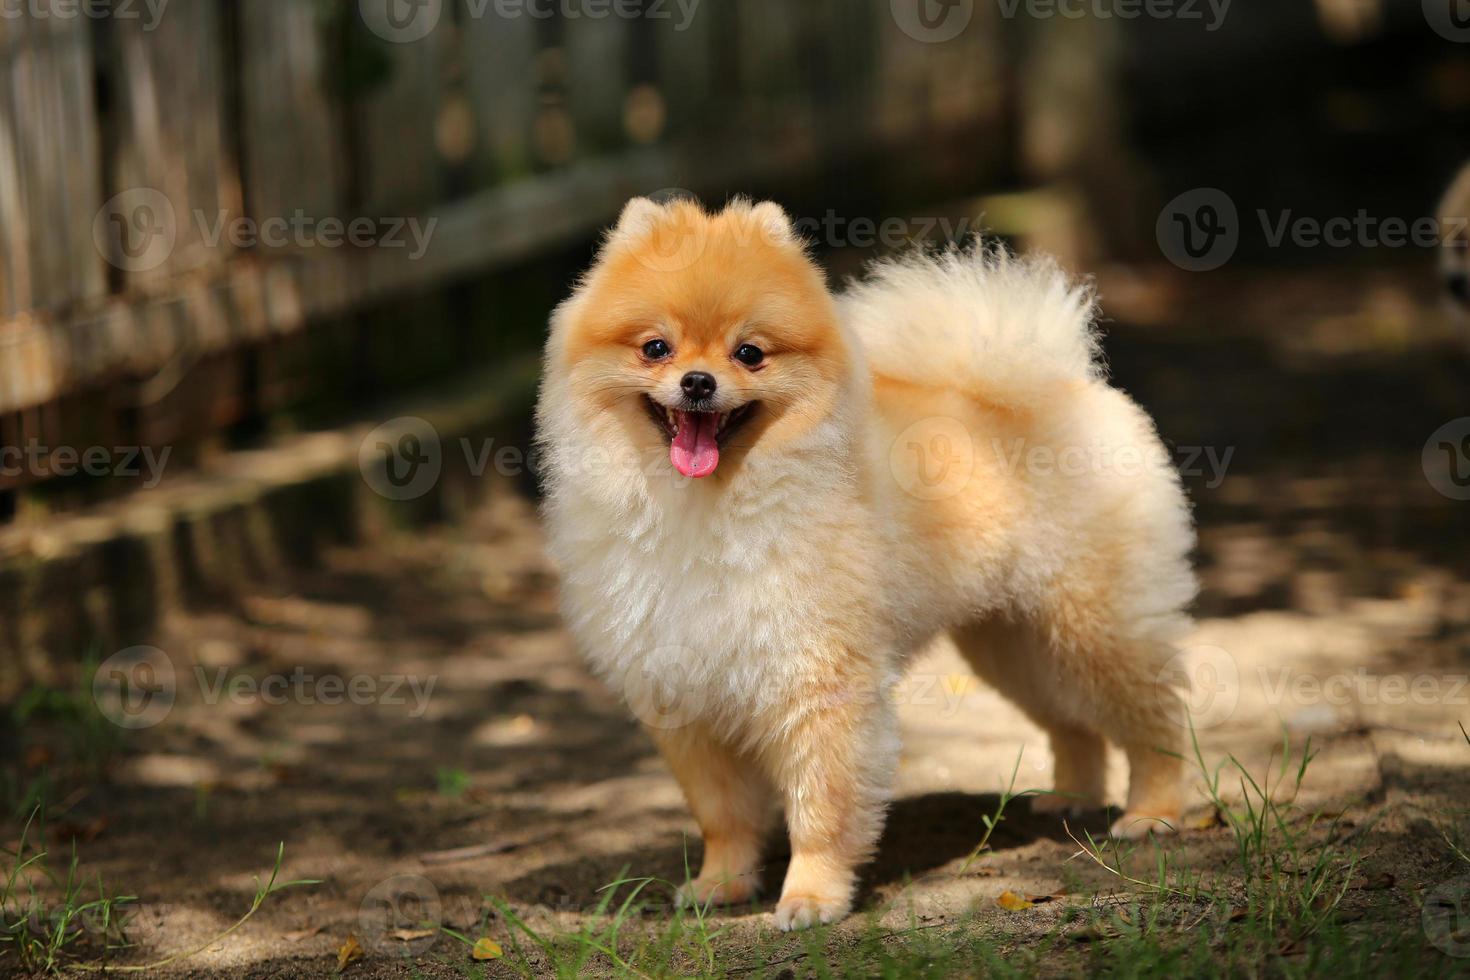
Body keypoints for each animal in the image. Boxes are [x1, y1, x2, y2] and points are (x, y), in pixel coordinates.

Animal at [535, 195, 1199, 934]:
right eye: (656, 348)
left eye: (750, 353)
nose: (698, 381)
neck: (703, 507)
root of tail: (1056, 381)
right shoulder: (683, 691)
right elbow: (722, 814)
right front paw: (721, 884)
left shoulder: (821, 682)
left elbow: (821, 808)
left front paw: (811, 898)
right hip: (1014, 640)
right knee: (1072, 721)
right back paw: (1072, 795)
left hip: (1095, 622)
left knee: (1154, 714)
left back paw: (1152, 813)